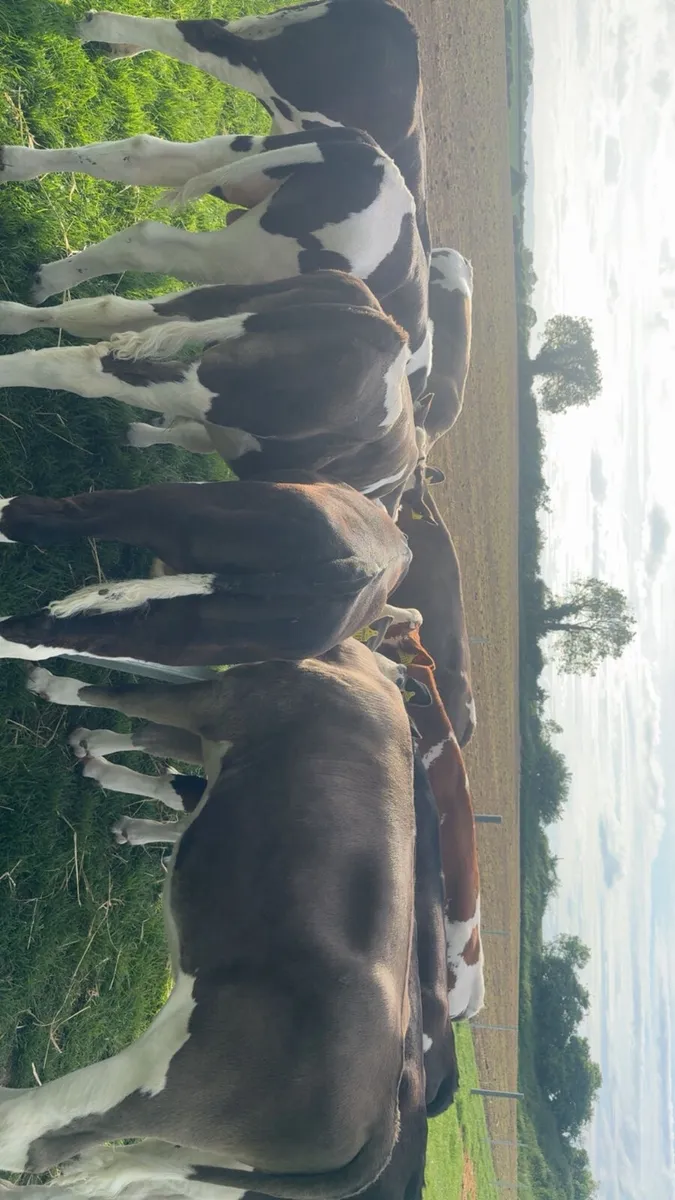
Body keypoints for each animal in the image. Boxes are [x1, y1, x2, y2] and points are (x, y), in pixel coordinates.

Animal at [0, 126, 431, 400]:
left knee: (140, 152)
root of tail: (377, 161)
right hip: (243, 253)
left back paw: (15, 164)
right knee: (147, 240)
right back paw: (47, 279)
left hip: (240, 156)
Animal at [0, 272, 417, 513]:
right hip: (210, 387)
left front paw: (140, 434)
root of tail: (389, 330)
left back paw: (11, 314)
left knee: (106, 310)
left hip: (211, 302)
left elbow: (188, 435)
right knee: (82, 369)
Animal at [0, 637, 416, 1198]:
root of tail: (383, 1122)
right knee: (109, 1172)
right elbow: (154, 742)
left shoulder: (220, 699)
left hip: (164, 1082)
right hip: (209, 1162)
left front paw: (50, 684)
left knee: (32, 1131)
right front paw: (95, 753)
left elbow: (121, 695)